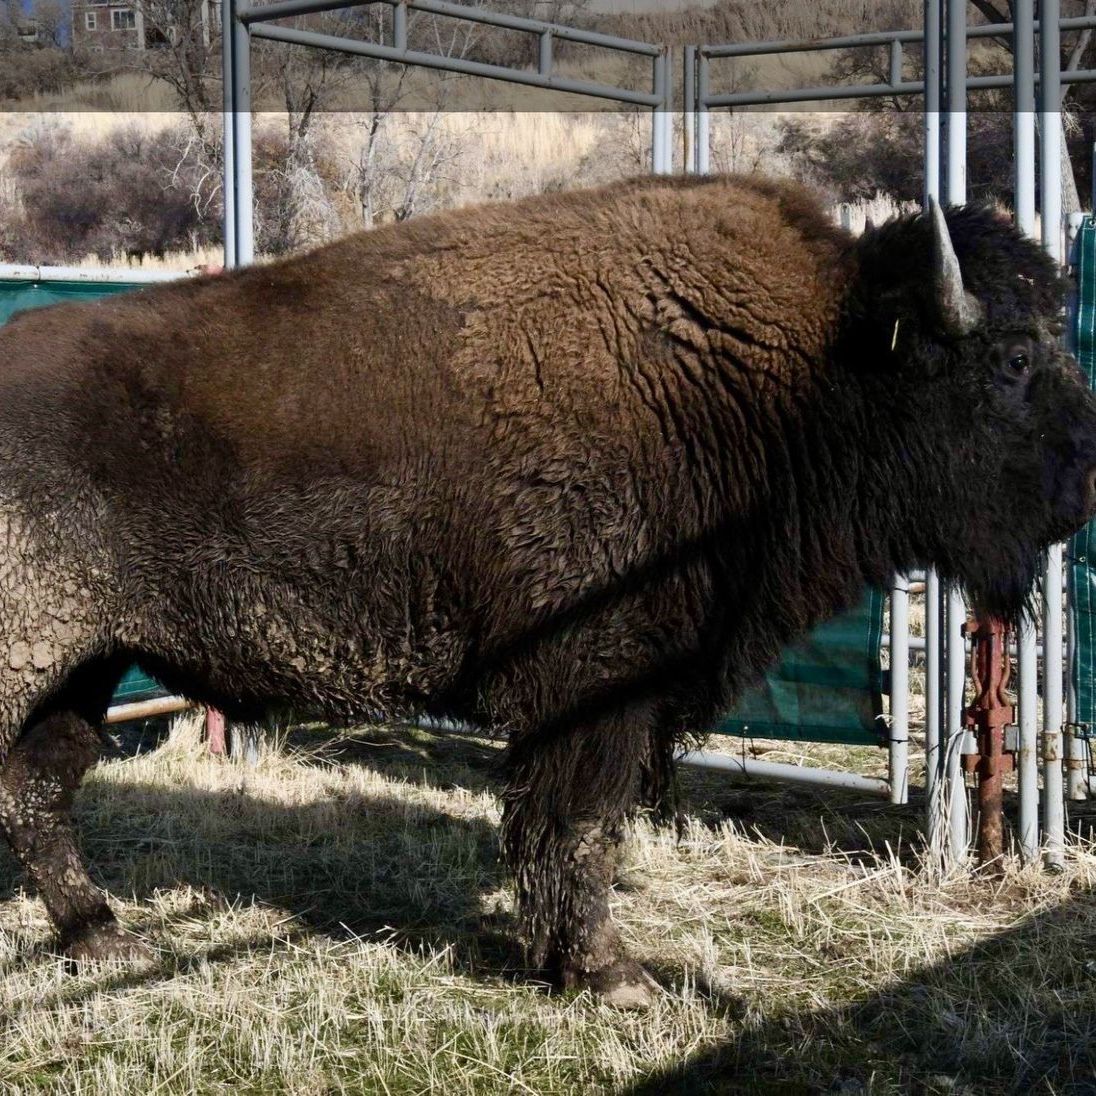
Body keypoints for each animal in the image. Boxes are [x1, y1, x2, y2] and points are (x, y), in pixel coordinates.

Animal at [0, 174, 1093, 1006]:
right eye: (1014, 357)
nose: (1078, 487)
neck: (800, 372)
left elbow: (566, 827)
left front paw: (570, 962)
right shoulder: (596, 692)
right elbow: (580, 825)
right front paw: (612, 976)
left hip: (86, 664)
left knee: (42, 783)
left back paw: (103, 935)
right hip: (41, 657)